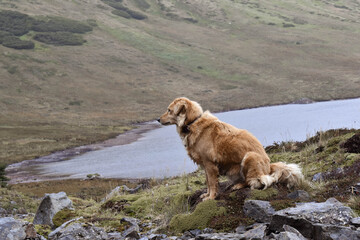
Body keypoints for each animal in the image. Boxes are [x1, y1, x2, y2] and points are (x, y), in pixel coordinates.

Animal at [159, 97, 302, 201]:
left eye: (169, 110)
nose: (158, 119)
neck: (192, 122)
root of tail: (269, 167)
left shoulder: (209, 164)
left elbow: (212, 183)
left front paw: (211, 197)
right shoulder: (205, 166)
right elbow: (207, 182)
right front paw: (207, 194)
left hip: (249, 156)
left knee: (252, 182)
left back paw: (239, 185)